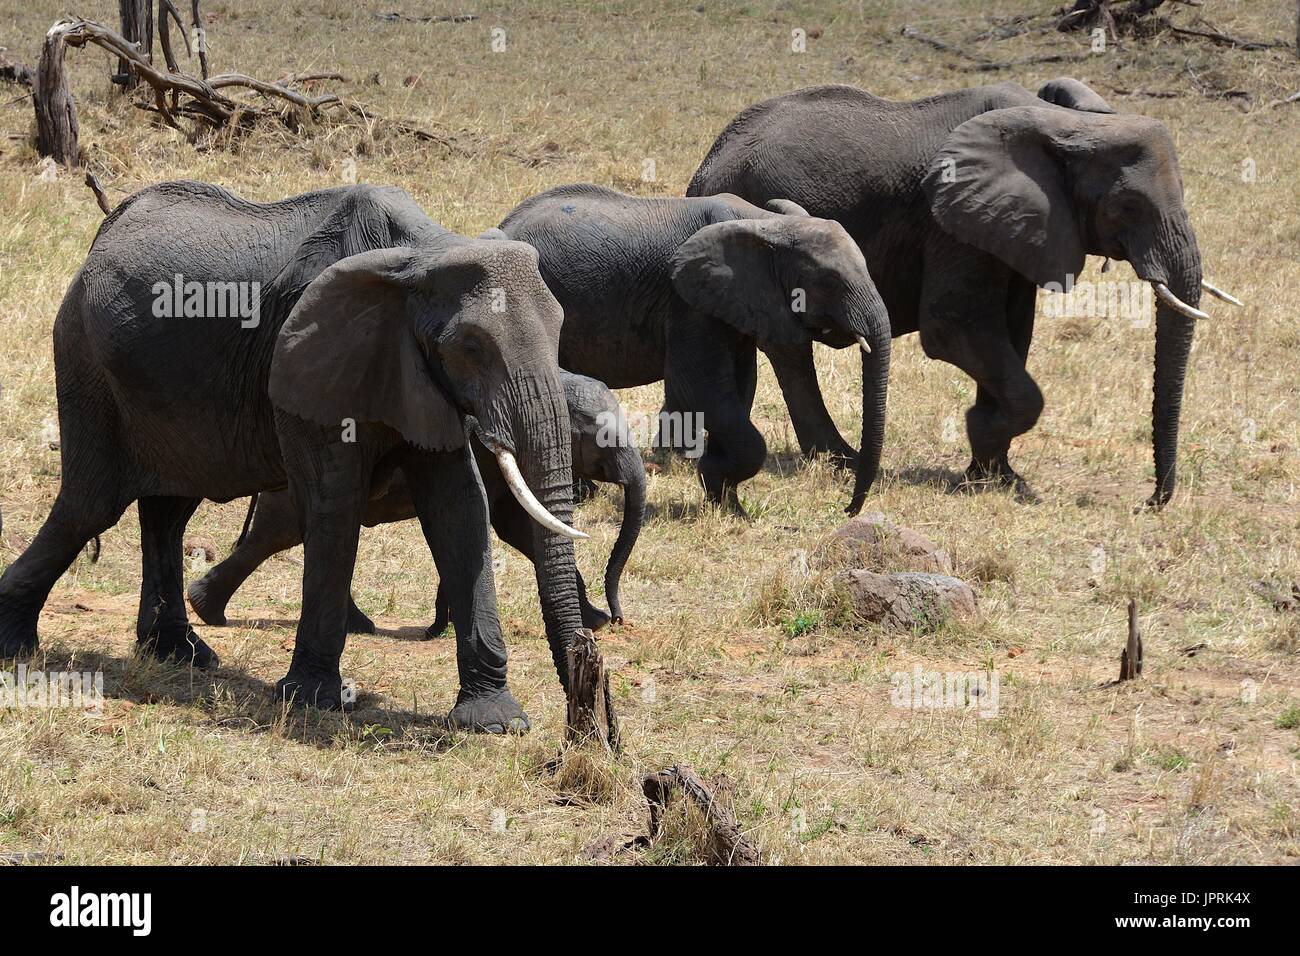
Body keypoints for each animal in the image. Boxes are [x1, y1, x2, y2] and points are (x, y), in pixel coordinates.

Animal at [0, 180, 585, 733]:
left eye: (561, 330)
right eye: (471, 346)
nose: (579, 711)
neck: (425, 252)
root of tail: (102, 235)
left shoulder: (418, 375)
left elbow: (459, 507)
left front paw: (495, 721)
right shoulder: (310, 355)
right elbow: (335, 501)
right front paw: (314, 700)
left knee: (168, 510)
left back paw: (179, 656)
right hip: (85, 361)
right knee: (91, 505)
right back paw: (17, 645)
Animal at [185, 369, 647, 639]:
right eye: (601, 439)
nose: (620, 617)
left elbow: (513, 527)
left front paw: (593, 620)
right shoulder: (482, 450)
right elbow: (495, 524)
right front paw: (440, 629)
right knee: (275, 537)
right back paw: (208, 610)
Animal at [496, 184, 894, 515]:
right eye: (830, 281)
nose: (845, 510)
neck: (769, 225)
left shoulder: (734, 303)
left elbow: (740, 386)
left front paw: (726, 502)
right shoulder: (686, 300)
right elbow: (696, 388)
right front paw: (717, 484)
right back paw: (581, 494)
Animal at [691, 77, 1237, 509]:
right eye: (1127, 206)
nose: (1150, 502)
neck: (1066, 124)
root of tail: (707, 163)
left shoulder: (1015, 226)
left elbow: (1013, 331)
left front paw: (998, 476)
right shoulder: (950, 219)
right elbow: (954, 327)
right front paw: (983, 436)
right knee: (790, 346)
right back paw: (843, 462)